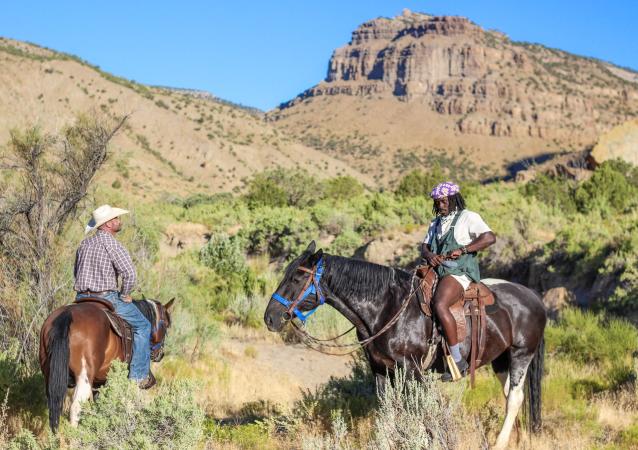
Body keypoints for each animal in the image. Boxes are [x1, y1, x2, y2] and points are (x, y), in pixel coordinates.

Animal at [38, 298, 174, 430]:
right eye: (166, 325)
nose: (160, 354)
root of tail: (67, 314)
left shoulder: (98, 384)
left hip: (50, 375)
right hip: (83, 379)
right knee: (76, 406)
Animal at [264, 243, 544, 450]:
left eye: (298, 277)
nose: (270, 318)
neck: (386, 307)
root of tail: (534, 297)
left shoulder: (411, 370)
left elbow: (415, 408)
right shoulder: (380, 368)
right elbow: (388, 407)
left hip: (521, 354)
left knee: (515, 398)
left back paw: (499, 443)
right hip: (501, 360)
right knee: (509, 394)